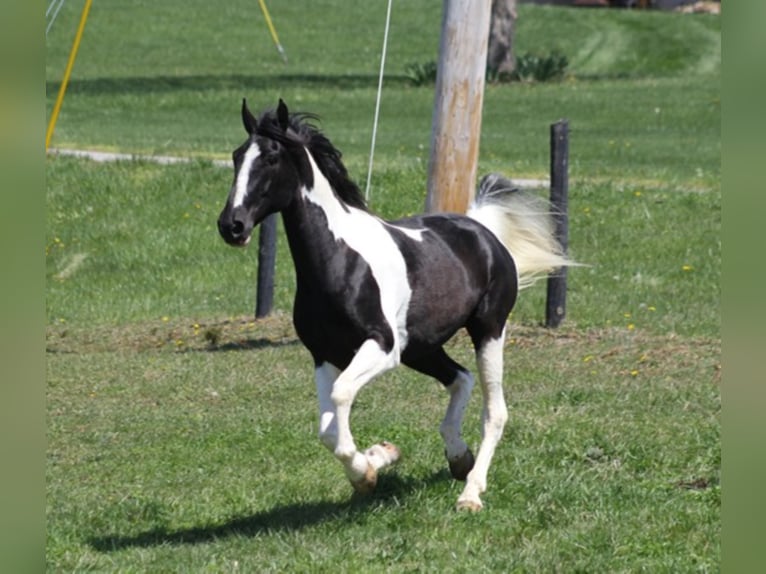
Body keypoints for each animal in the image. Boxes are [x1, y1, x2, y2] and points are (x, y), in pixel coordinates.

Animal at [219, 99, 572, 512]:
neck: (340, 261)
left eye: (272, 157)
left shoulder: (382, 347)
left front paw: (367, 473)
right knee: (460, 378)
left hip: (487, 330)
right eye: (237, 156)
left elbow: (341, 397)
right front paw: (379, 458)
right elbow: (328, 429)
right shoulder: (324, 354)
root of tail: (482, 230)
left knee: (495, 411)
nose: (232, 226)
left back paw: (471, 493)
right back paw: (458, 458)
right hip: (421, 348)